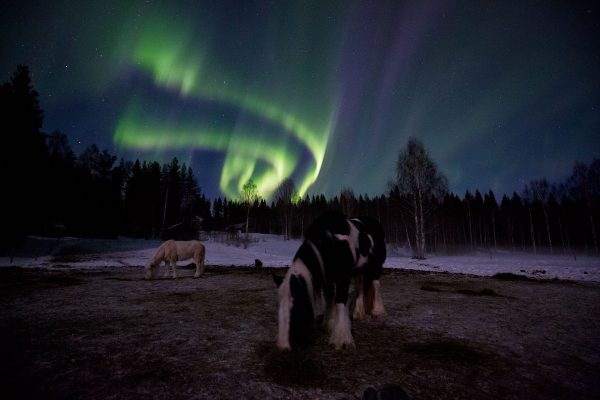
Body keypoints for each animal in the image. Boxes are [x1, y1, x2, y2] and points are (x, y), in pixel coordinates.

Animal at [274, 209, 386, 350]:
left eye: (296, 305)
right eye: (278, 305)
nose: (282, 345)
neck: (331, 240)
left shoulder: (343, 277)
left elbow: (340, 301)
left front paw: (342, 339)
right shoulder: (328, 278)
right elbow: (329, 298)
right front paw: (328, 323)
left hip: (376, 265)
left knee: (376, 284)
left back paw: (377, 312)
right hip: (358, 270)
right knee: (359, 287)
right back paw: (358, 313)